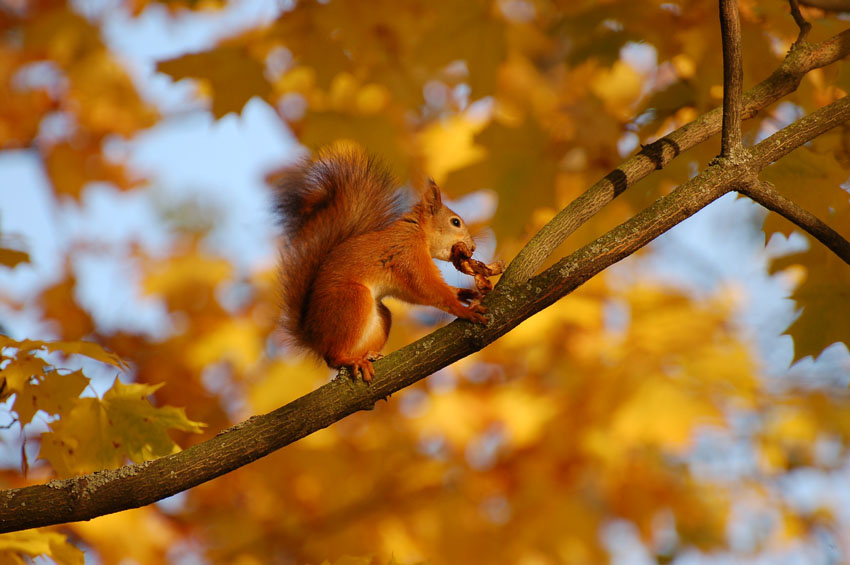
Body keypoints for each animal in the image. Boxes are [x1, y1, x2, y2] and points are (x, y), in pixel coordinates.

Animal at [274, 146, 488, 382]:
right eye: (455, 222)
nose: (473, 247)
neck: (417, 231)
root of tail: (313, 337)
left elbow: (416, 293)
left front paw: (463, 293)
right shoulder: (407, 254)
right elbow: (427, 286)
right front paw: (464, 310)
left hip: (380, 316)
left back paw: (368, 355)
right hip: (352, 300)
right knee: (333, 357)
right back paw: (351, 360)